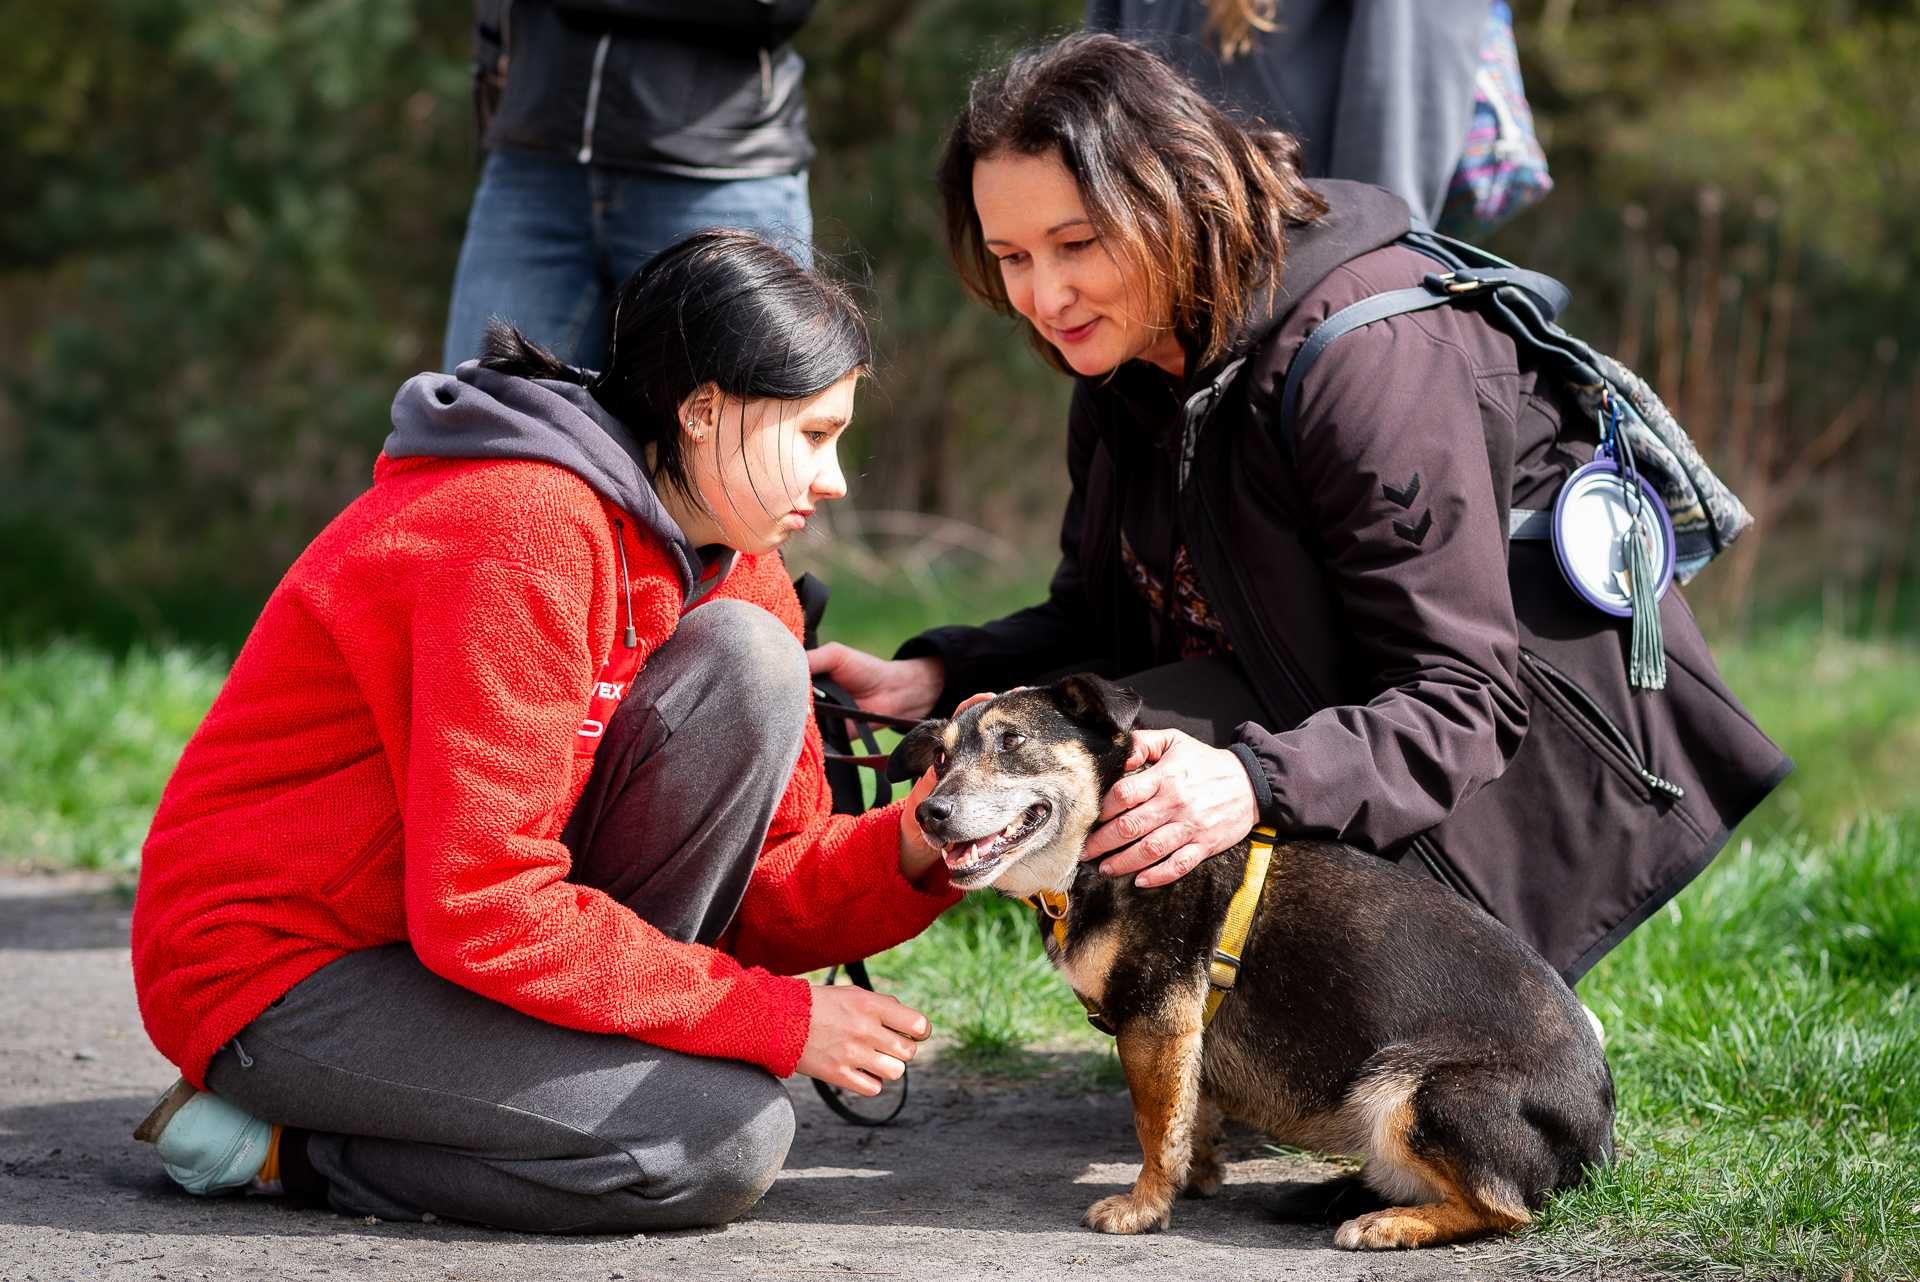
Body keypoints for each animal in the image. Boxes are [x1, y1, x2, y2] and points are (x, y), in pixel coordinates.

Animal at [890, 675, 1612, 1243]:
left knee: (1507, 1210)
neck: (1093, 848)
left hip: (1409, 1090)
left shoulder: (1156, 1017)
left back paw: (1391, 1224)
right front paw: (1194, 1177)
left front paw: (1144, 1207)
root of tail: (1600, 1137)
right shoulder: (1183, 1030)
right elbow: (1188, 1112)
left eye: (1012, 742)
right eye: (941, 758)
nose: (929, 813)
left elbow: (1153, 1123)